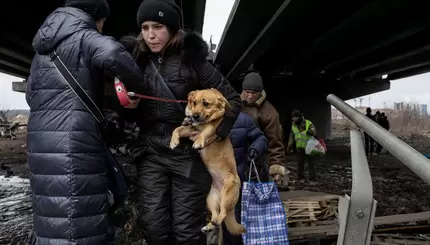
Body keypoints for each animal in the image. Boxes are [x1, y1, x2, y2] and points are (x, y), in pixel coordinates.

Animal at [170, 88, 247, 235]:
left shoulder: (211, 128)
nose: (194, 116)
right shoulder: (188, 130)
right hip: (210, 200)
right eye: (194, 102)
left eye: (205, 103)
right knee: (216, 215)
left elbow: (204, 132)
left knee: (223, 214)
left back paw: (215, 222)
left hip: (226, 196)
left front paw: (199, 143)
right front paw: (173, 142)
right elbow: (177, 129)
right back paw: (209, 226)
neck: (199, 124)